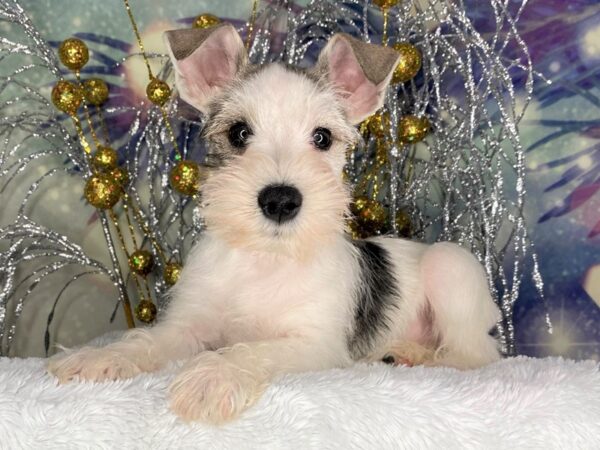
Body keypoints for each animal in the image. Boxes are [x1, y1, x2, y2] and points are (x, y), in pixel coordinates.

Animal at [50, 23, 502, 426]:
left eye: (322, 137)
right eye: (238, 132)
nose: (281, 200)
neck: (266, 256)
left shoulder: (314, 344)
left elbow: (252, 350)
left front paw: (211, 377)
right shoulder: (188, 326)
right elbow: (146, 339)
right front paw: (101, 357)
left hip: (449, 267)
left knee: (474, 355)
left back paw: (418, 355)